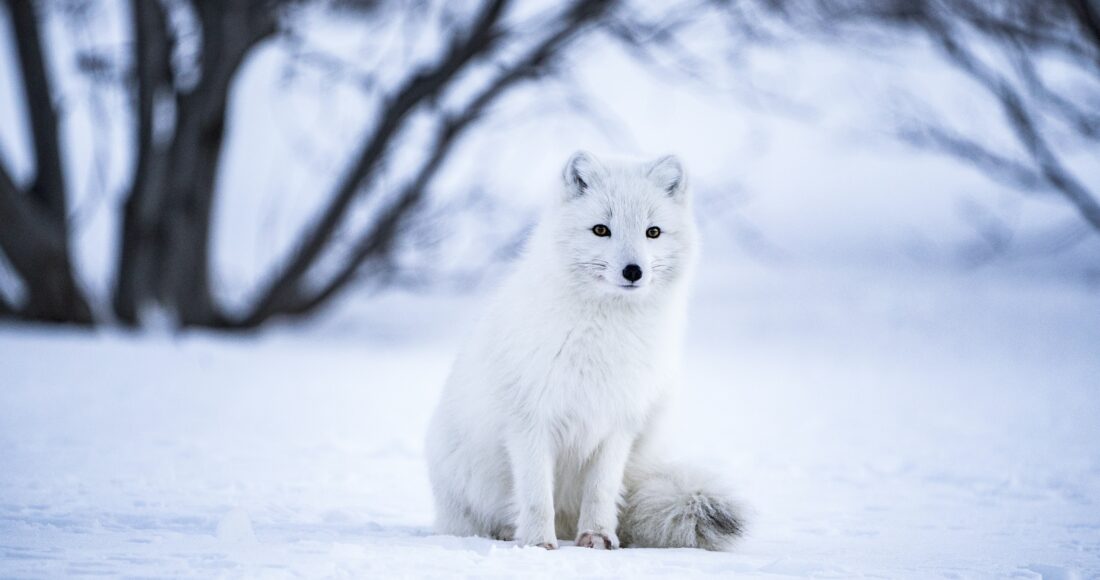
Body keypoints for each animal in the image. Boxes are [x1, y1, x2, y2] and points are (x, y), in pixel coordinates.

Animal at [425, 151, 744, 550]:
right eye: (601, 230)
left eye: (653, 232)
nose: (633, 271)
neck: (604, 333)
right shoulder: (530, 420)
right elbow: (535, 494)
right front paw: (537, 544)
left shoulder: (618, 423)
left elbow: (601, 490)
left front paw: (597, 536)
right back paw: (506, 533)